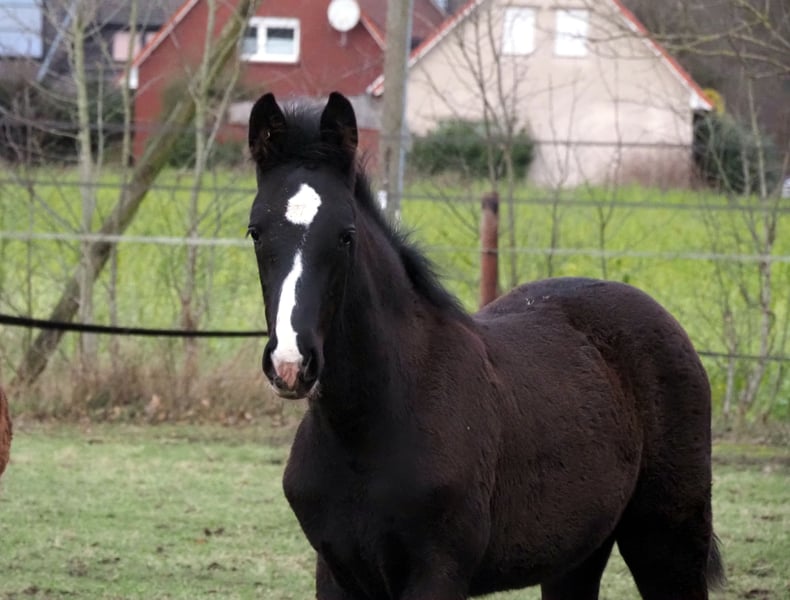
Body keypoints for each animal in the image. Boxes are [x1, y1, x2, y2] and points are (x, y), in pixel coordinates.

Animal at [246, 91, 724, 600]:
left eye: (346, 234)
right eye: (255, 231)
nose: (291, 364)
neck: (365, 428)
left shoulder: (438, 573)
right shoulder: (336, 573)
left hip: (668, 539)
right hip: (577, 553)